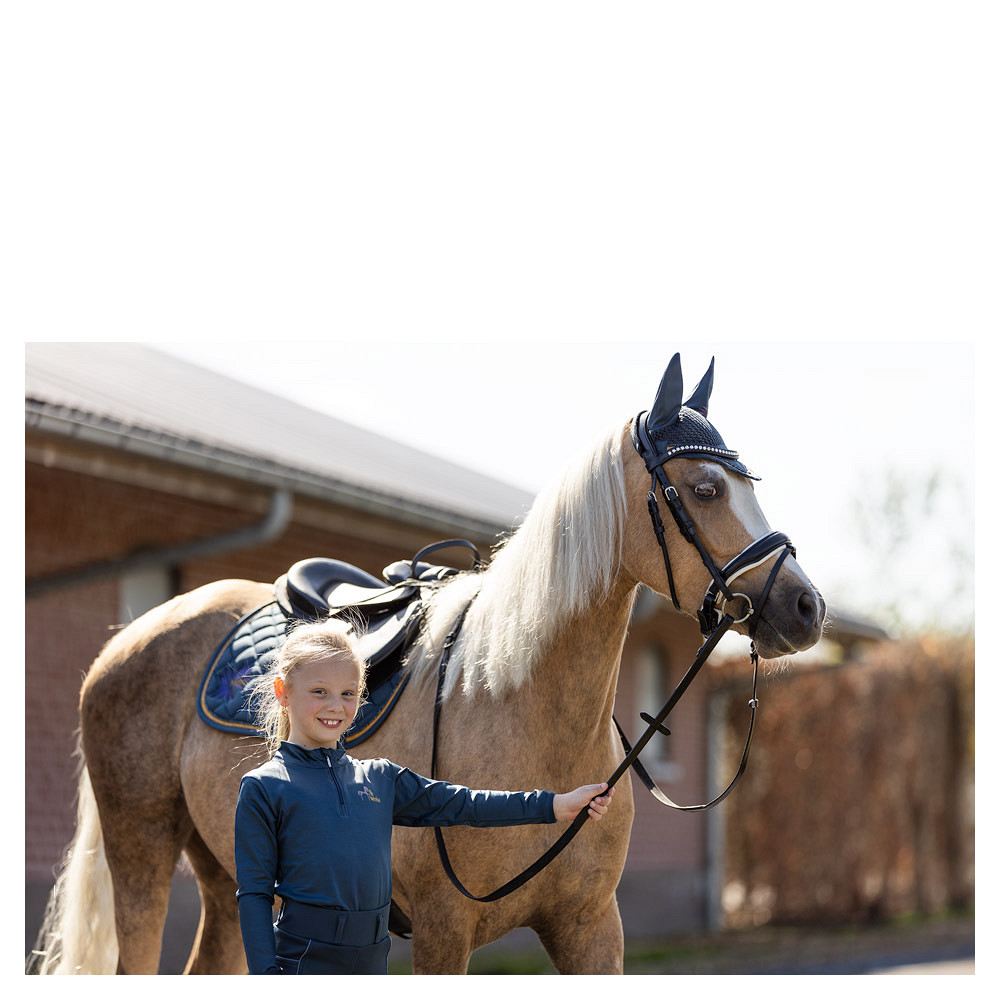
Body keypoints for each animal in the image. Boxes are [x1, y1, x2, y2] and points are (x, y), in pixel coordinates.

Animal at [30, 355, 826, 975]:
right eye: (705, 489)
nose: (805, 607)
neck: (517, 705)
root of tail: (128, 640)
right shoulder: (444, 931)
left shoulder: (592, 928)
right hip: (141, 848)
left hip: (229, 872)